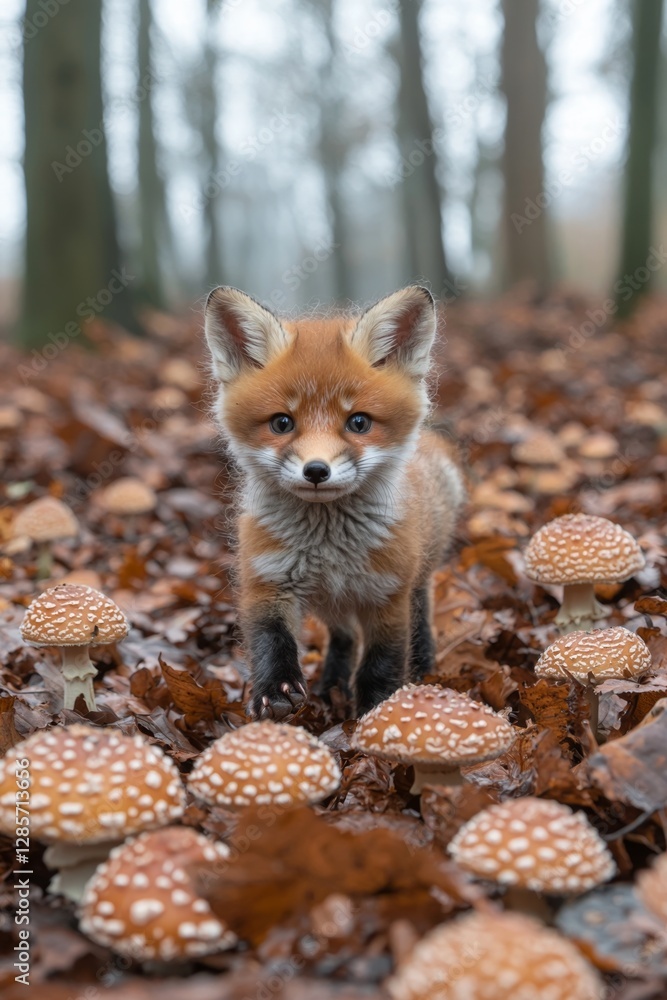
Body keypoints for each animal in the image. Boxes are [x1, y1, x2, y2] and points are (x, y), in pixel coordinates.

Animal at [204, 284, 465, 720]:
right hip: (331, 604)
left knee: (420, 614)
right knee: (343, 639)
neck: (329, 549)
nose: (316, 470)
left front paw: (377, 708)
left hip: (416, 576)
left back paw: (423, 664)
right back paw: (331, 683)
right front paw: (275, 690)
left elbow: (382, 660)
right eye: (282, 423)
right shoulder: (267, 579)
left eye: (358, 422)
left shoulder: (387, 592)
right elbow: (271, 641)